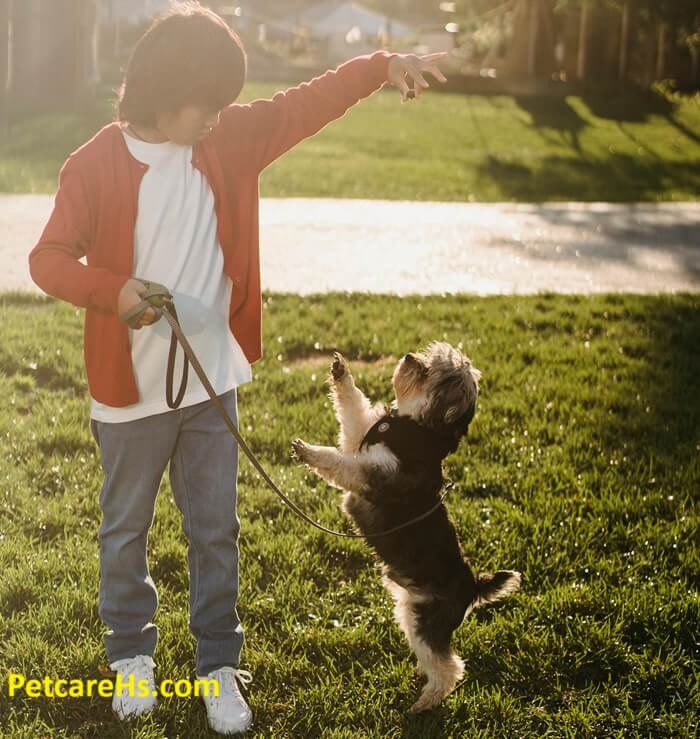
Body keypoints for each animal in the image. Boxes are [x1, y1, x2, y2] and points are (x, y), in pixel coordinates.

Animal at [290, 344, 520, 712]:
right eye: (430, 358)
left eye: (431, 373)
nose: (411, 357)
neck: (415, 426)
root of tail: (473, 586)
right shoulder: (359, 439)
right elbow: (352, 409)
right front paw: (341, 372)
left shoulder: (372, 473)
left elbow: (339, 462)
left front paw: (309, 451)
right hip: (409, 611)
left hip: (426, 623)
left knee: (450, 668)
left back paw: (424, 704)